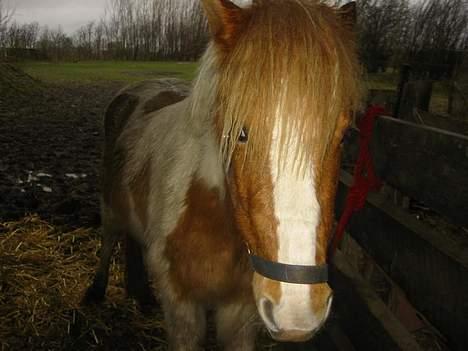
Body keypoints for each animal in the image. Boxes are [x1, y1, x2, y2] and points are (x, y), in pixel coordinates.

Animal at [85, 0, 362, 350]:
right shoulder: (182, 311)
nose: (297, 310)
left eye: (343, 136)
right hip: (108, 205)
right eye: (240, 132)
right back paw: (95, 291)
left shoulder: (240, 316)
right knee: (109, 239)